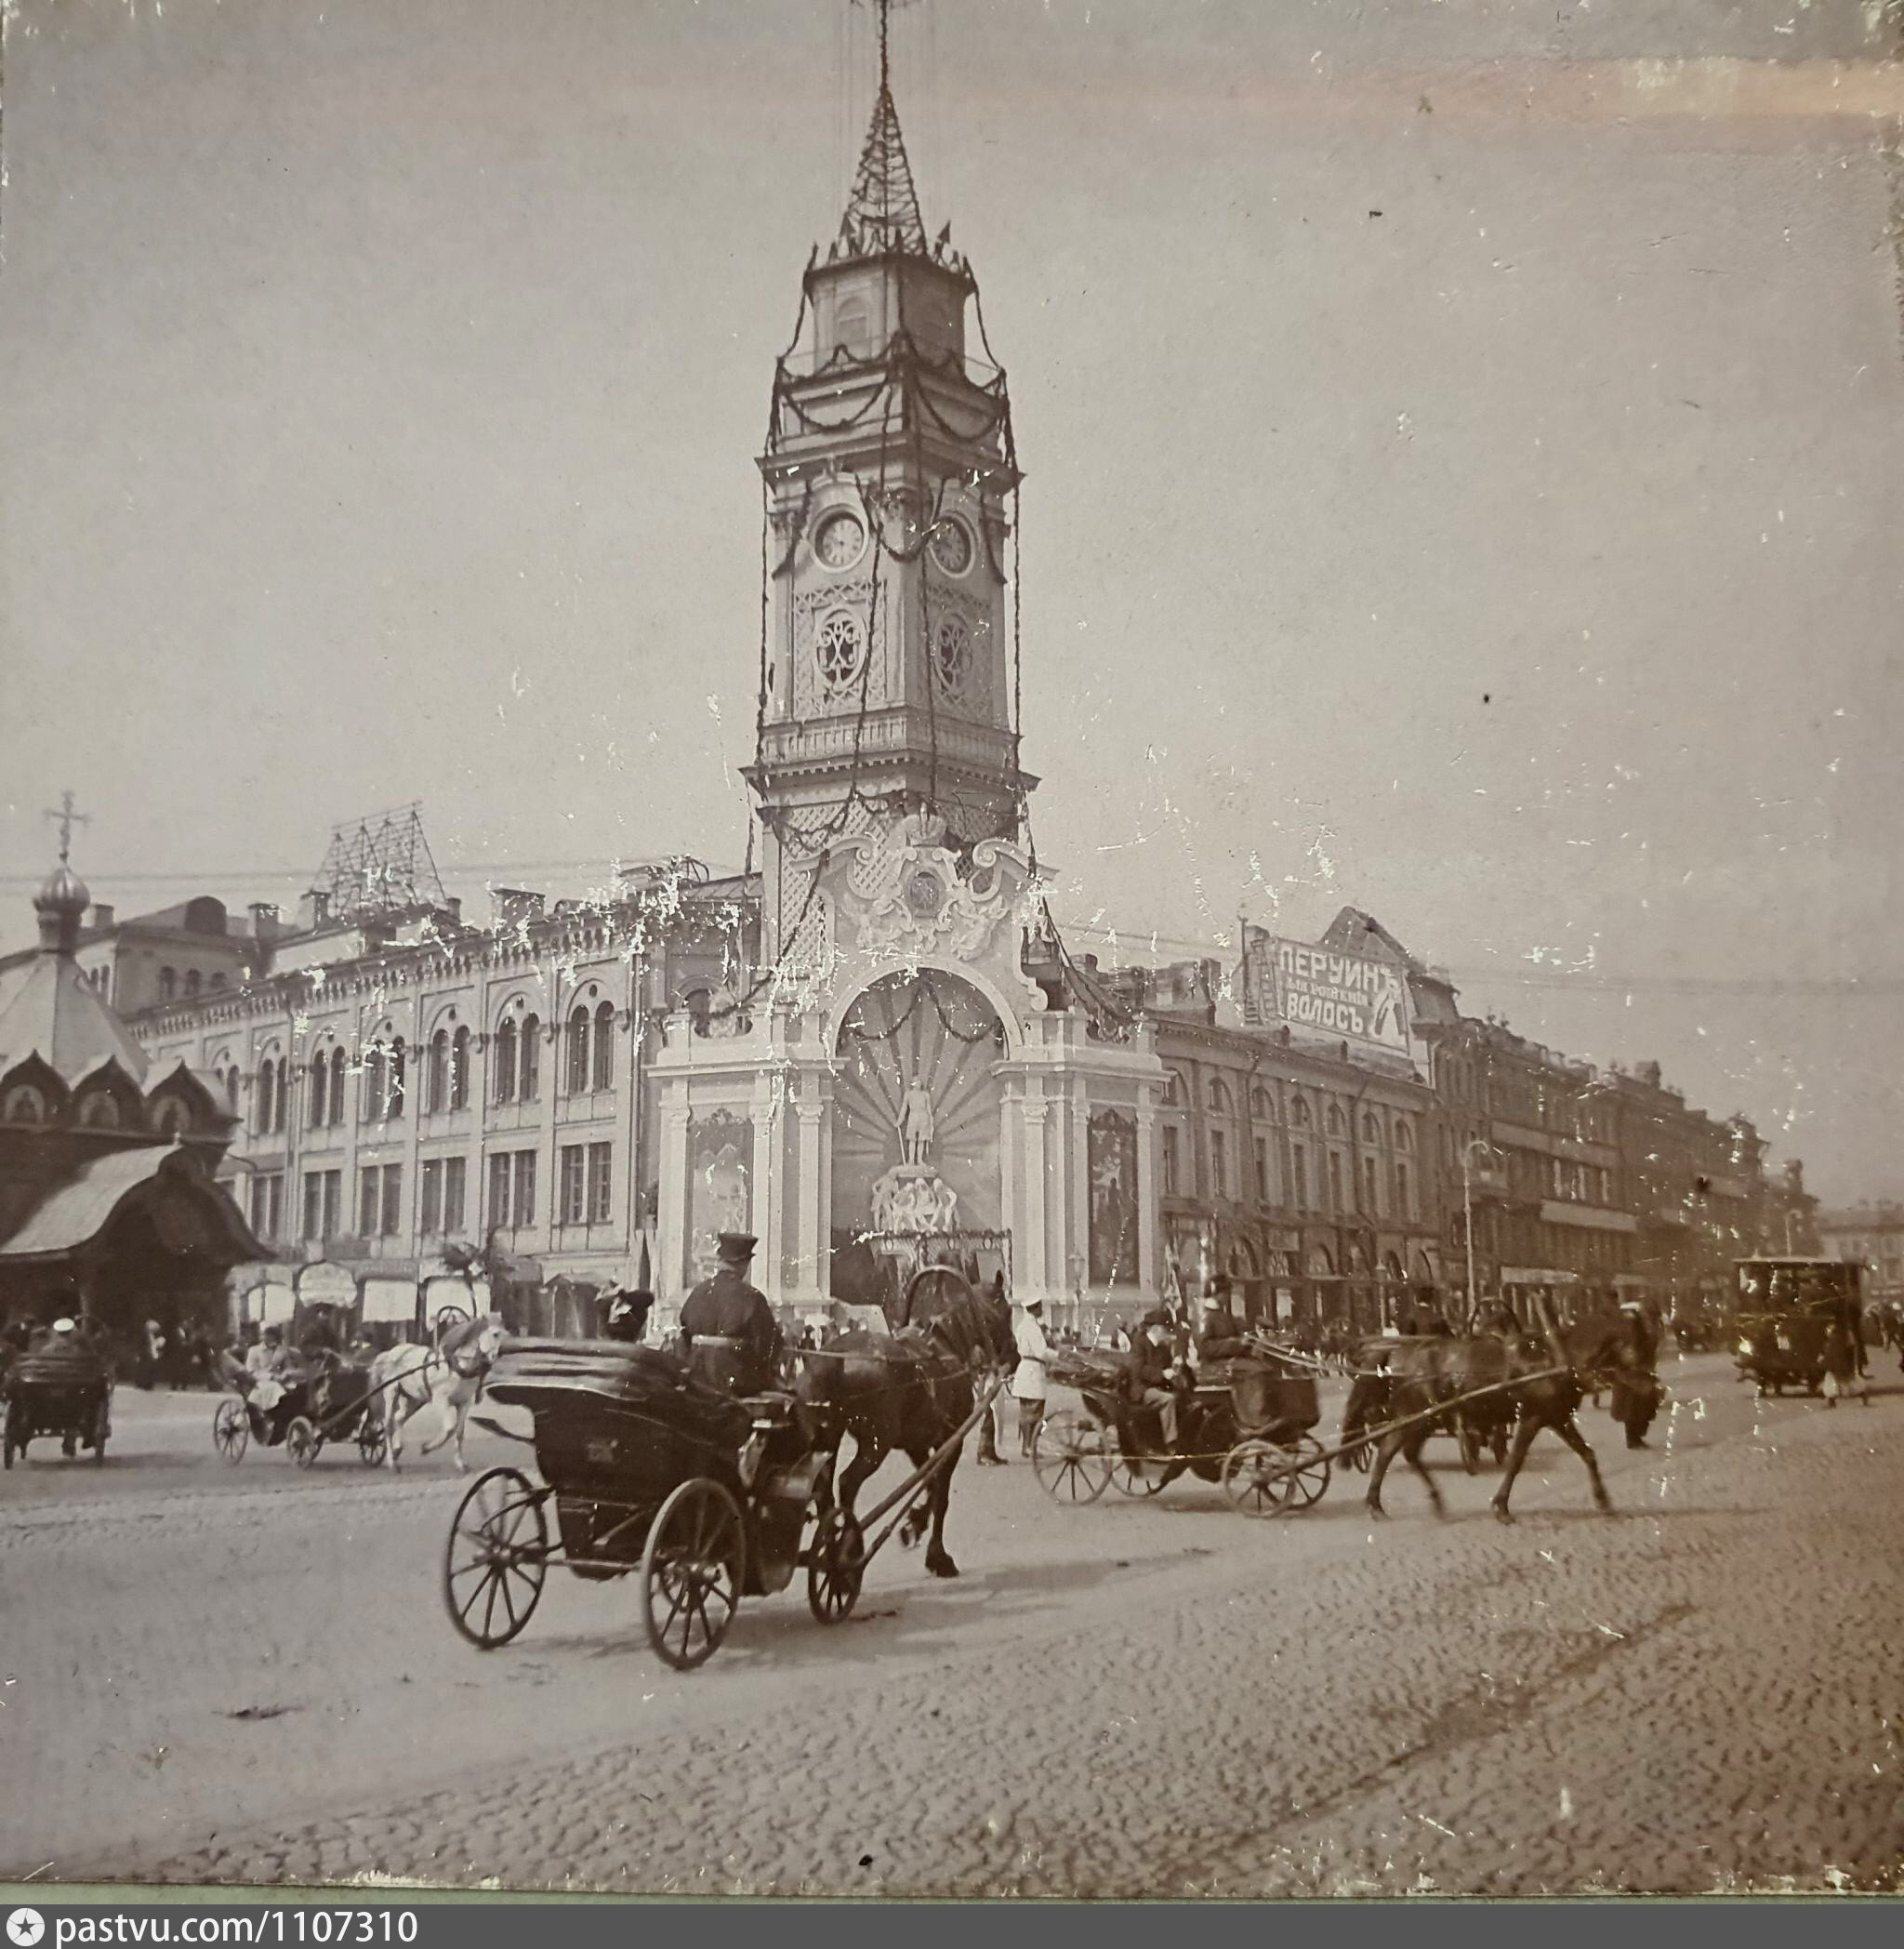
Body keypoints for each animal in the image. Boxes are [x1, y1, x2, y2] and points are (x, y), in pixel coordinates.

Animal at [368, 1317, 502, 1465]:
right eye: (496, 1334)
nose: (495, 1357)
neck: (457, 1367)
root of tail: (391, 1353)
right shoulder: (440, 1400)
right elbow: (450, 1428)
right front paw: (427, 1447)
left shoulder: (464, 1402)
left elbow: (459, 1432)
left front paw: (460, 1462)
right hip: (392, 1392)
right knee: (388, 1425)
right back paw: (391, 1461)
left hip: (413, 1397)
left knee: (399, 1418)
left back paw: (397, 1449)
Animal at [795, 1270, 1021, 1574]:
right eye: (1007, 1311)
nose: (1015, 1355)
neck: (947, 1346)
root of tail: (836, 1359)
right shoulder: (950, 1440)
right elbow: (941, 1496)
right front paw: (938, 1556)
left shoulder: (917, 1444)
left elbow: (929, 1483)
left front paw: (914, 1524)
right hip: (876, 1443)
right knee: (847, 1482)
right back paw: (850, 1551)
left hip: (827, 1439)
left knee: (824, 1491)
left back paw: (829, 1550)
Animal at [1348, 1302, 1629, 1528]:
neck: (1553, 1358)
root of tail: (1398, 1355)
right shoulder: (1533, 1417)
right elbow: (1516, 1461)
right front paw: (1501, 1508)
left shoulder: (1557, 1416)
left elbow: (1587, 1454)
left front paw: (1604, 1501)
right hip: (1419, 1418)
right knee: (1397, 1452)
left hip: (1418, 1419)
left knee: (1395, 1452)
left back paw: (1394, 1505)